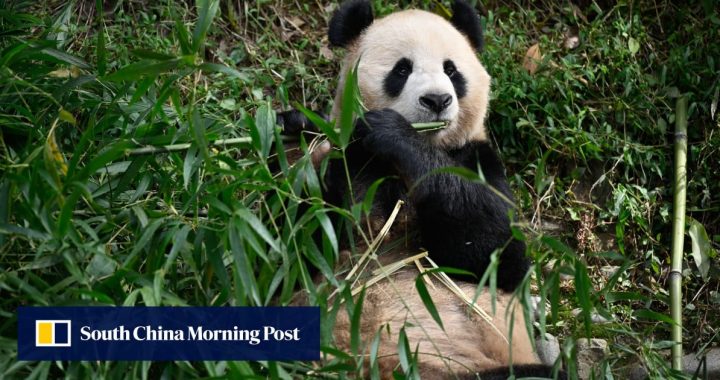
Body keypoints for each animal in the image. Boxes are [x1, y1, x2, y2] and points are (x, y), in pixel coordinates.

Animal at [278, 1, 564, 378]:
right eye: (402, 69)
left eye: (451, 71)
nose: (437, 100)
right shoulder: (349, 163)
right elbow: (290, 249)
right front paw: (297, 130)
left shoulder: (477, 160)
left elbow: (496, 255)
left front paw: (392, 132)